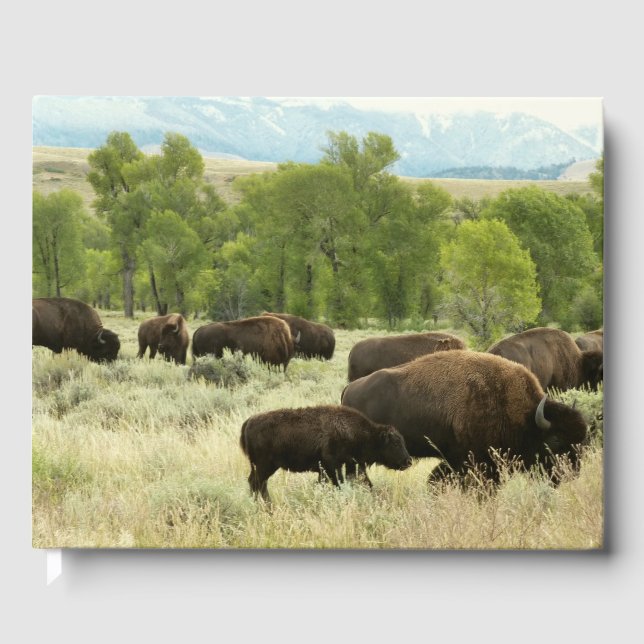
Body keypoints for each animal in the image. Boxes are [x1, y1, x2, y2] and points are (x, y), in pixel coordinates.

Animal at [239, 405, 412, 502]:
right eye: (395, 443)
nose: (408, 461)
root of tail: (249, 421)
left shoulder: (339, 467)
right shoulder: (332, 466)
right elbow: (338, 483)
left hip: (262, 467)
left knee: (256, 483)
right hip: (264, 466)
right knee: (257, 483)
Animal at [341, 350, 587, 483]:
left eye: (581, 441)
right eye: (555, 441)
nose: (572, 474)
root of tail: (349, 388)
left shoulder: (457, 458)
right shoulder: (478, 460)